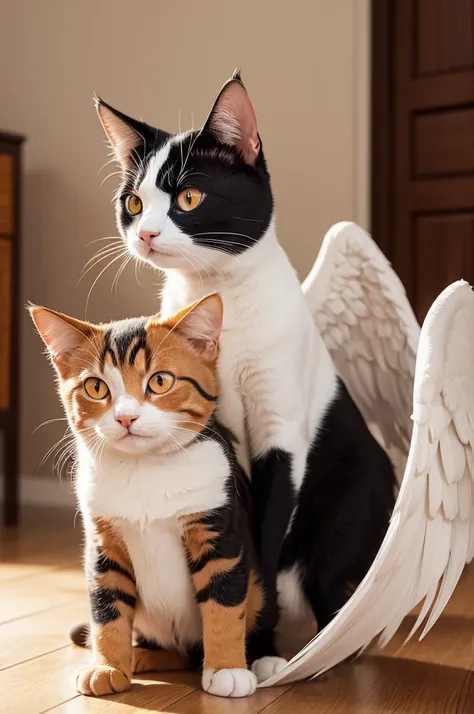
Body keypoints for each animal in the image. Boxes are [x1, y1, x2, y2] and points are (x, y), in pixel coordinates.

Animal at [31, 292, 286, 700]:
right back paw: (144, 656)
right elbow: (107, 607)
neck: (145, 470)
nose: (125, 417)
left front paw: (228, 669)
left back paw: (263, 658)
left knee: (256, 607)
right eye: (96, 387)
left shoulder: (218, 530)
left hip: (260, 581)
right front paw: (108, 667)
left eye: (161, 381)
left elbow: (225, 603)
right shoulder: (103, 542)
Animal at [97, 72, 396, 668]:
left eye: (189, 197)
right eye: (134, 202)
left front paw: (257, 647)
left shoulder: (280, 431)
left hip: (346, 503)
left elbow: (263, 541)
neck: (223, 305)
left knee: (329, 584)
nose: (145, 233)